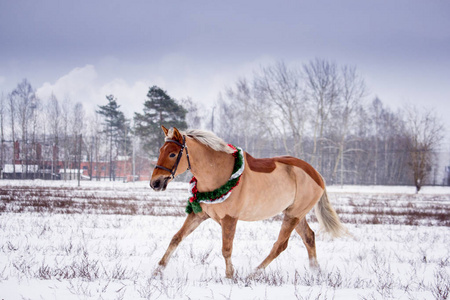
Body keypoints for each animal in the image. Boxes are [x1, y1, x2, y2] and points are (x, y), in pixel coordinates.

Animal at [150, 125, 344, 278]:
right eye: (160, 151)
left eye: (173, 154)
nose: (155, 183)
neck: (219, 172)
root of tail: (316, 174)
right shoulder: (199, 214)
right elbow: (176, 238)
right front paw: (157, 271)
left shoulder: (229, 218)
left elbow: (226, 248)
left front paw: (230, 276)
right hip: (295, 214)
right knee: (309, 237)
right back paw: (316, 272)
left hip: (293, 215)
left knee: (280, 245)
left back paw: (253, 273)